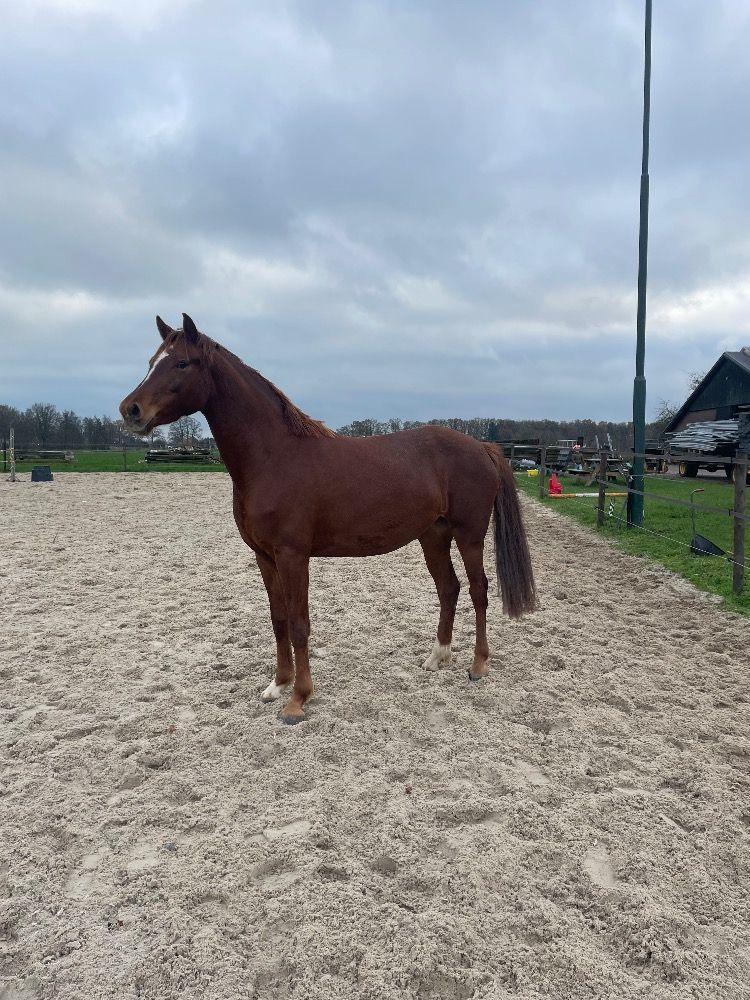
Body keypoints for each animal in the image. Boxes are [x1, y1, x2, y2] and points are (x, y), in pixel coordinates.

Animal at [120, 314, 536, 723]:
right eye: (151, 361)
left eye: (181, 363)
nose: (130, 410)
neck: (274, 456)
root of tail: (481, 446)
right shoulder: (264, 557)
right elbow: (279, 619)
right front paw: (278, 685)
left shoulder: (293, 556)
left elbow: (299, 624)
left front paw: (298, 700)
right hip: (433, 535)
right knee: (449, 588)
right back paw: (437, 658)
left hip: (469, 535)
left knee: (479, 590)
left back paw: (478, 665)